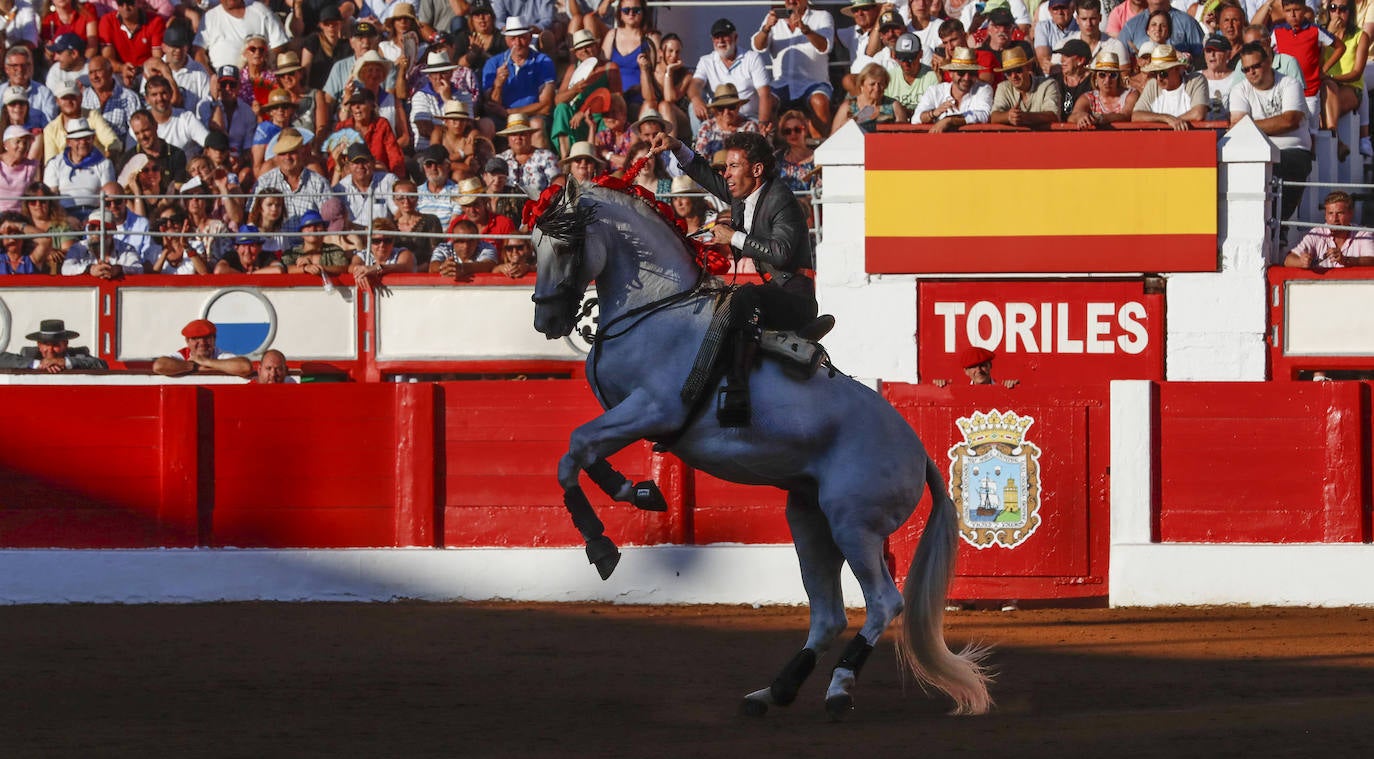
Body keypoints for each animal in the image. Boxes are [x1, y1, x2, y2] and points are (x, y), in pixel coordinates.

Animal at [530, 177, 994, 715]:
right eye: (535, 244)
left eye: (566, 246)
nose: (546, 320)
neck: (656, 309)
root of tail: (919, 453)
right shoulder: (627, 414)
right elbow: (581, 453)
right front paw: (639, 493)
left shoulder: (653, 409)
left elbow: (574, 447)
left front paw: (603, 547)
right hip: (809, 520)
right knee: (828, 613)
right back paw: (775, 690)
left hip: (854, 524)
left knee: (883, 601)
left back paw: (838, 689)